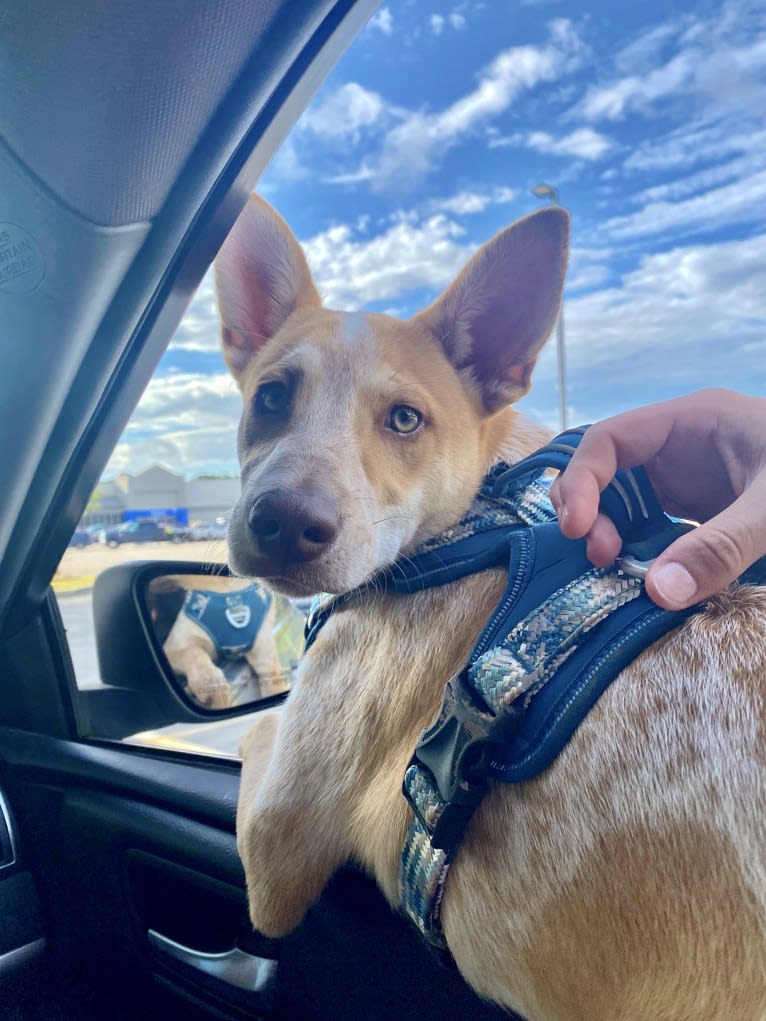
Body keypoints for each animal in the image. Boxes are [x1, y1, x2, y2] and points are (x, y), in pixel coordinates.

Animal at [214, 192, 766, 1021]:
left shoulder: (278, 850)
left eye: (404, 419)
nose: (282, 522)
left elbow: (258, 730)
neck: (482, 511)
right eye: (271, 396)